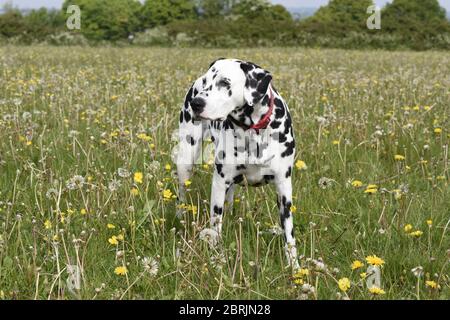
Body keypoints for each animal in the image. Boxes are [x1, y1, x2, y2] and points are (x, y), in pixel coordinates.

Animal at [176, 58, 298, 268]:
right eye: (207, 81)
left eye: (225, 82)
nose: (196, 103)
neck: (253, 131)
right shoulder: (219, 182)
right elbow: (216, 225)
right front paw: (217, 258)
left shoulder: (284, 187)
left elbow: (289, 235)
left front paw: (295, 266)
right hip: (186, 160)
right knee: (182, 193)